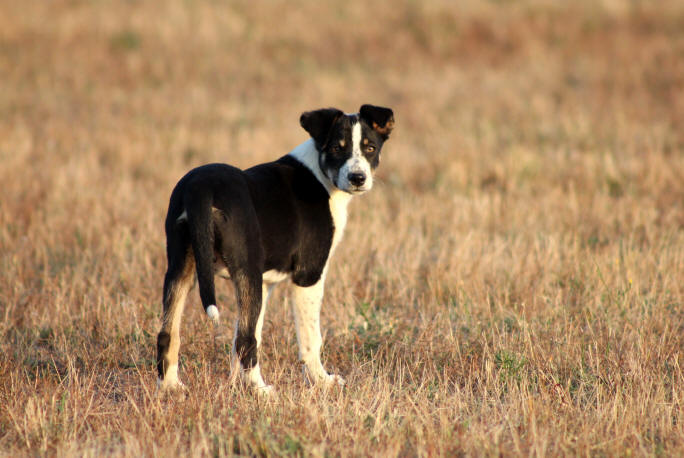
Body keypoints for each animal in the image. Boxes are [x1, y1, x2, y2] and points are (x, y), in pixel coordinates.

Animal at [153, 104, 392, 394]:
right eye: (337, 147)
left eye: (370, 148)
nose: (357, 178)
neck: (322, 174)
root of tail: (200, 189)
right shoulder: (308, 275)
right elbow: (311, 339)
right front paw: (322, 381)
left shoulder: (266, 283)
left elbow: (248, 335)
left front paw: (236, 386)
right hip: (246, 271)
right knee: (245, 340)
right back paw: (263, 391)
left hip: (181, 268)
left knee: (169, 333)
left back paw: (171, 387)